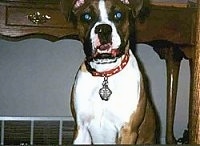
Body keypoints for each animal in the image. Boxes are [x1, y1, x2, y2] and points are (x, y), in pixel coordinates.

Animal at [60, 0, 156, 144]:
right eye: (87, 16)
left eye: (118, 15)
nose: (103, 29)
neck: (105, 73)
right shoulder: (81, 129)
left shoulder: (127, 131)